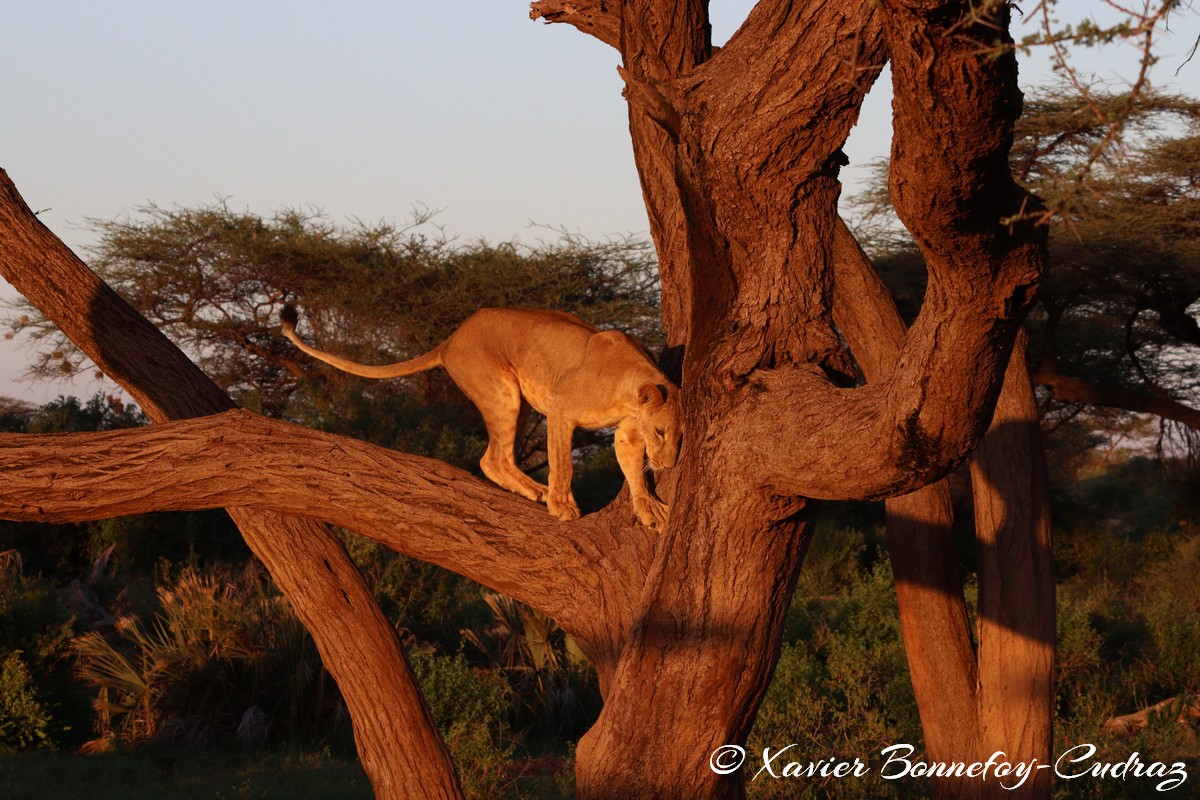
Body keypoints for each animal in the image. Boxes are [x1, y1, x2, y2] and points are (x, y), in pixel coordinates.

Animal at [274, 304, 681, 525]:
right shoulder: (560, 408)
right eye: (661, 432)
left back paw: (534, 491)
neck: (632, 387)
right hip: (504, 393)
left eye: (679, 437)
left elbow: (633, 469)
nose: (669, 465)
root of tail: (451, 339)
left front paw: (649, 509)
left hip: (513, 400)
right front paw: (562, 506)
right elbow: (562, 464)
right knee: (491, 458)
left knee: (498, 457)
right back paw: (541, 493)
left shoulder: (628, 431)